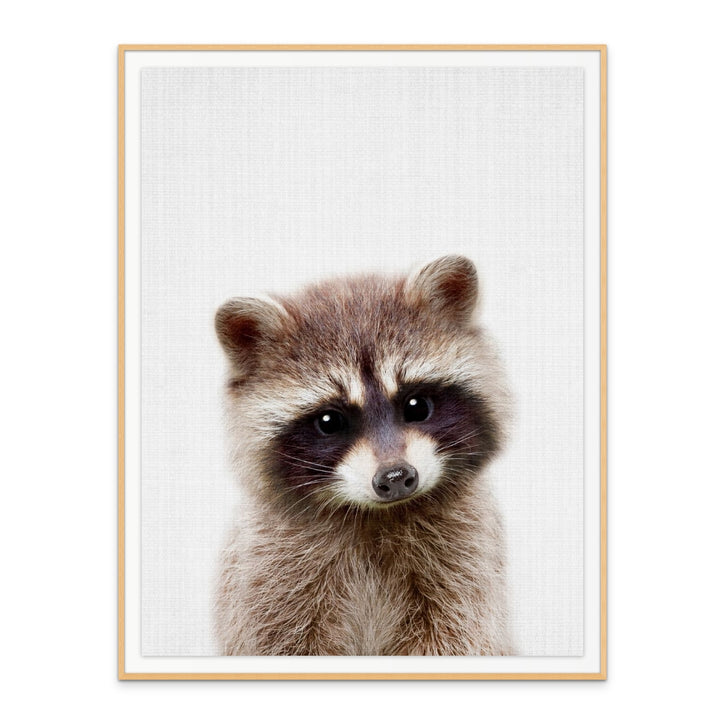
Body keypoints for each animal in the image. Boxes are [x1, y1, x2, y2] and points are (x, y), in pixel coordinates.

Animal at [214, 255, 514, 656]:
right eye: (329, 421)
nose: (396, 477)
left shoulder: (466, 561)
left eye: (417, 406)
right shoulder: (268, 573)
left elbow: (457, 634)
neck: (375, 516)